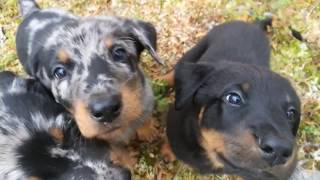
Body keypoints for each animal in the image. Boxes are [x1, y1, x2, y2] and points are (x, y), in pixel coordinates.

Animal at [166, 19, 302, 179]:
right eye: (234, 98)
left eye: (291, 113)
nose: (280, 149)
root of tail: (253, 25)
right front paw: (167, 153)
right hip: (198, 47)